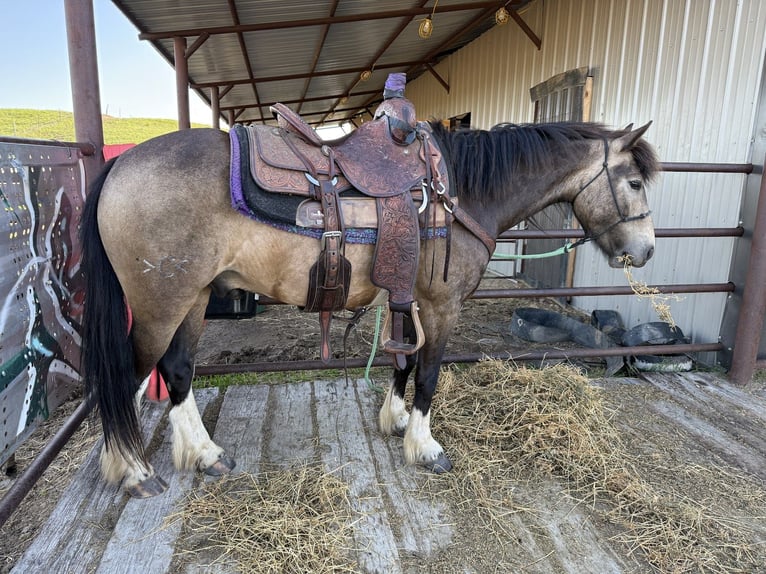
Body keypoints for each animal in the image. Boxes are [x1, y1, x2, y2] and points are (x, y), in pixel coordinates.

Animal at [80, 119, 658, 497]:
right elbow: (429, 374)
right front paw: (425, 447)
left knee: (177, 371)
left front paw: (395, 420)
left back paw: (206, 456)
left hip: (194, 299)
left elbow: (403, 362)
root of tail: (119, 164)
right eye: (633, 182)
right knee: (127, 377)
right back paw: (133, 472)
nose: (647, 250)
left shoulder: (410, 300)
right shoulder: (442, 305)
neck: (458, 194)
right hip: (160, 306)